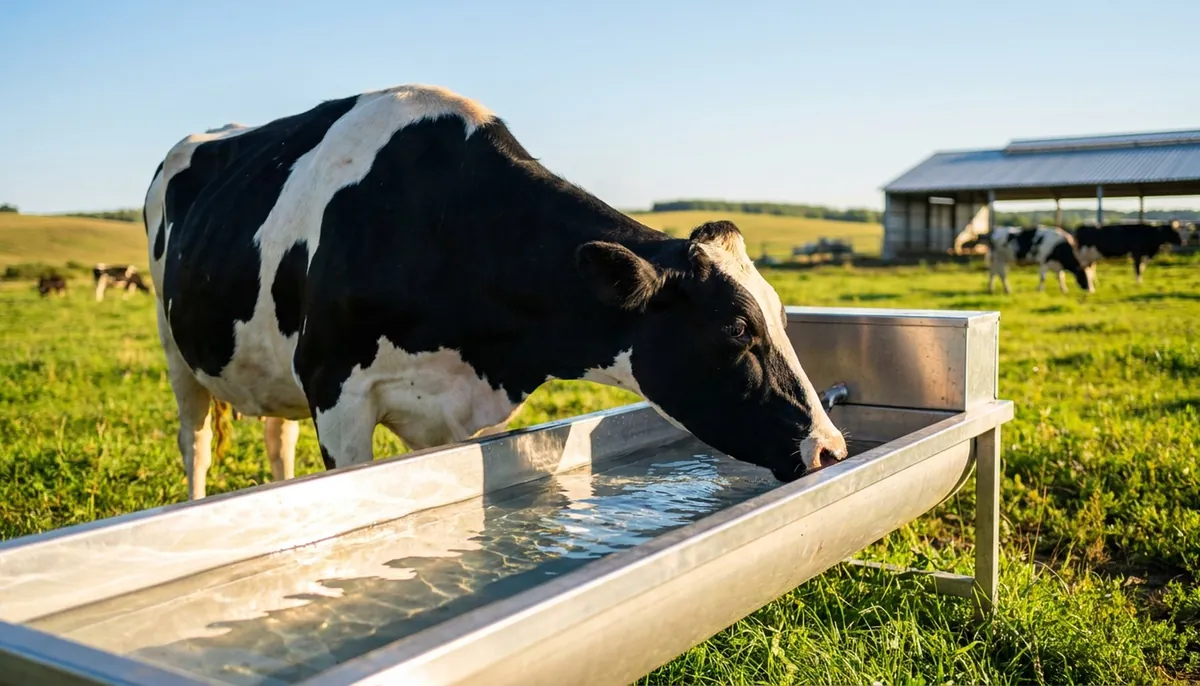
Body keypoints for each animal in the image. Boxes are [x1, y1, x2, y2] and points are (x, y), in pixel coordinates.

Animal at [143, 84, 848, 500]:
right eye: (736, 331)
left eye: (784, 318)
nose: (830, 448)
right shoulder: (335, 390)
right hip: (176, 350)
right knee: (195, 445)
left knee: (275, 439)